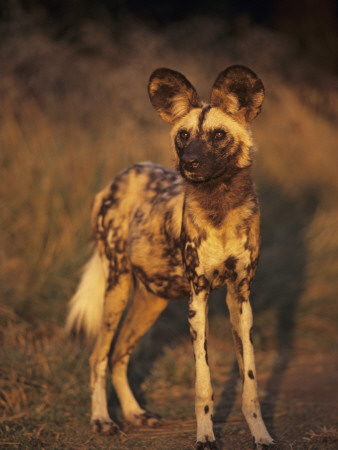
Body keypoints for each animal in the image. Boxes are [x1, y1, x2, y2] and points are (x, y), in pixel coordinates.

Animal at [66, 65, 274, 448]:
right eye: (183, 135)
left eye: (218, 135)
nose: (189, 162)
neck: (219, 207)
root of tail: (118, 178)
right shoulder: (198, 299)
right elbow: (204, 383)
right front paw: (205, 436)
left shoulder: (240, 299)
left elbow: (250, 382)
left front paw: (261, 434)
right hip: (117, 287)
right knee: (98, 356)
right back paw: (102, 420)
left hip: (152, 300)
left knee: (119, 355)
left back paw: (135, 414)